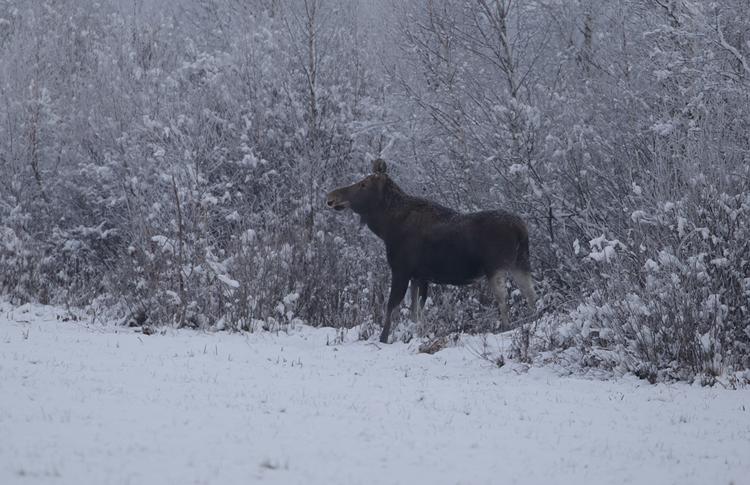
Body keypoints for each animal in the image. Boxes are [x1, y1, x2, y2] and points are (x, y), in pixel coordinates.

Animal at [326, 158, 536, 340]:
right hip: (521, 263)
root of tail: (521, 229)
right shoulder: (419, 276)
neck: (387, 228)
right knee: (530, 293)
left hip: (496, 267)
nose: (331, 197)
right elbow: (415, 312)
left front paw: (383, 339)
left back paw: (505, 328)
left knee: (504, 299)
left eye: (363, 184)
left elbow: (392, 307)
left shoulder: (401, 270)